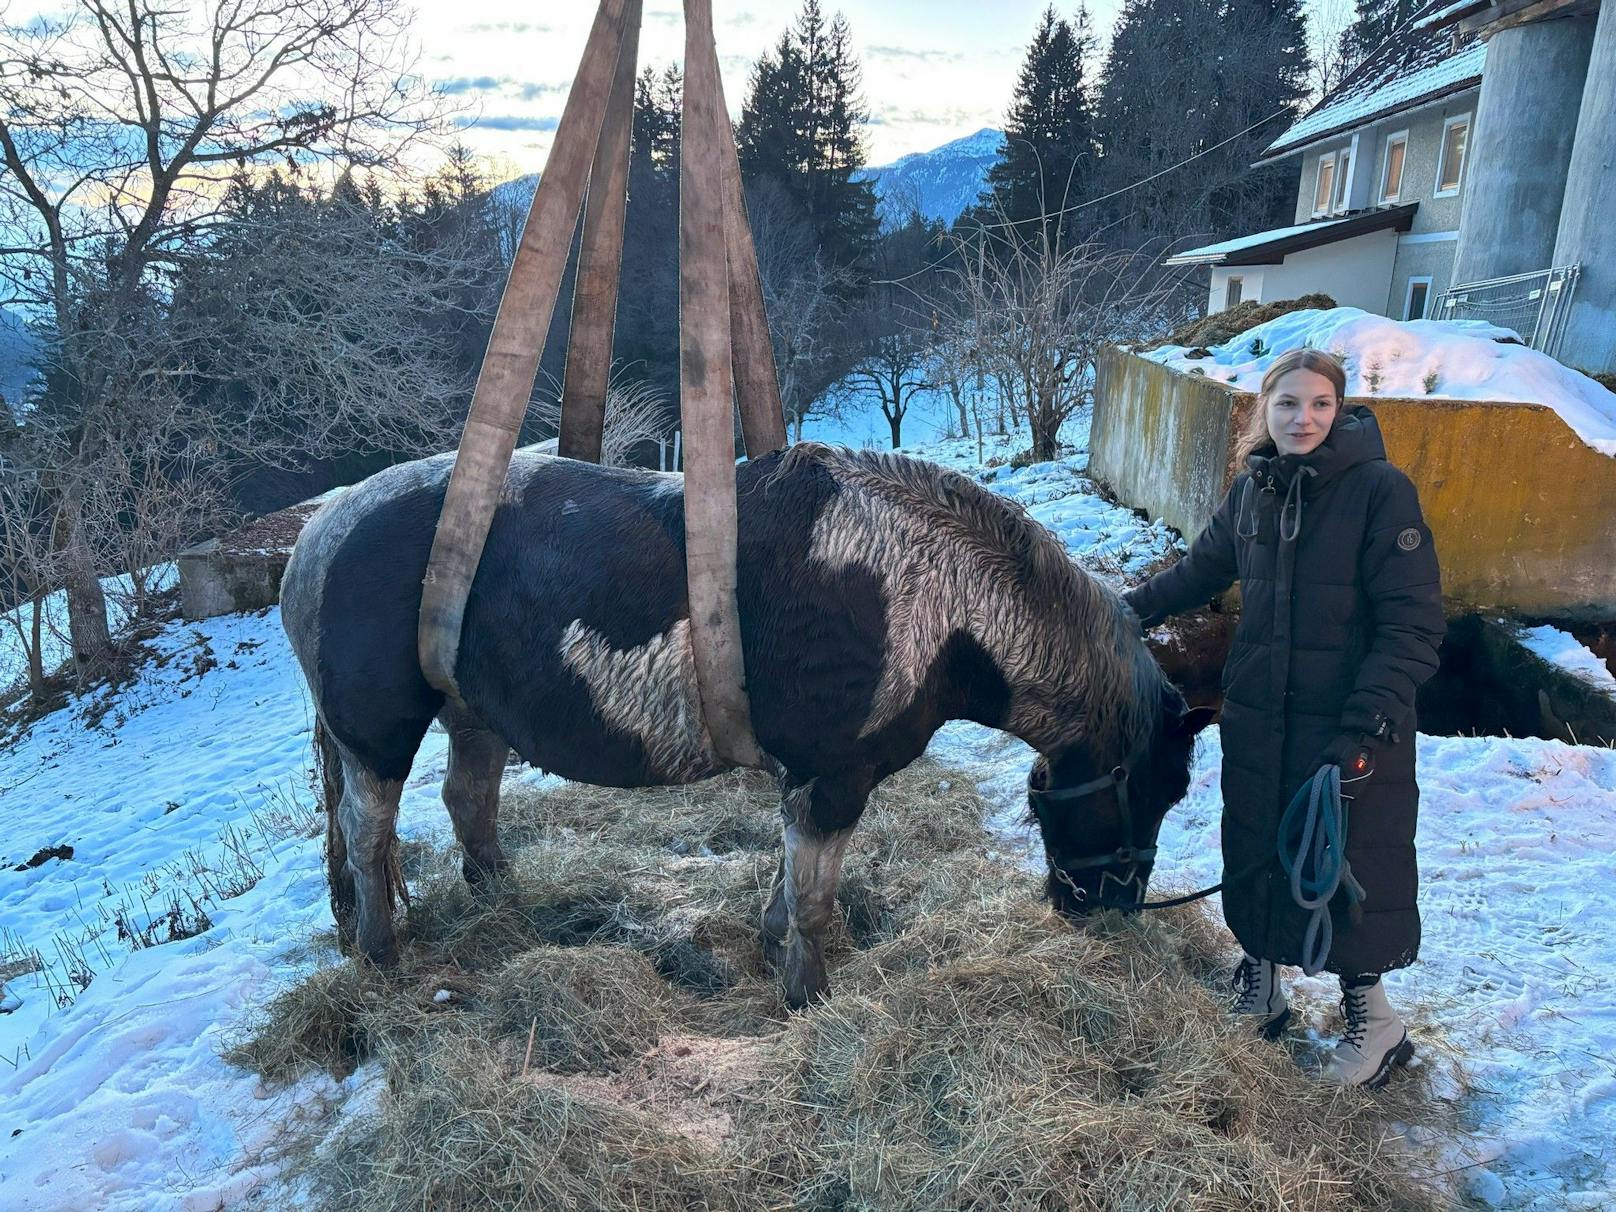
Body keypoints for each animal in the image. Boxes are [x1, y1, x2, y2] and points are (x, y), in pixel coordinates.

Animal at [281, 442, 1215, 1008]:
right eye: (1161, 790)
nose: (1107, 909)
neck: (933, 603)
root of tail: (317, 536)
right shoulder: (833, 782)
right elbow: (814, 895)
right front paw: (807, 993)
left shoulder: (809, 783)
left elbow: (788, 883)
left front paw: (775, 952)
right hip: (374, 738)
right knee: (368, 834)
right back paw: (381, 953)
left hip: (474, 715)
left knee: (467, 801)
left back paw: (500, 898)